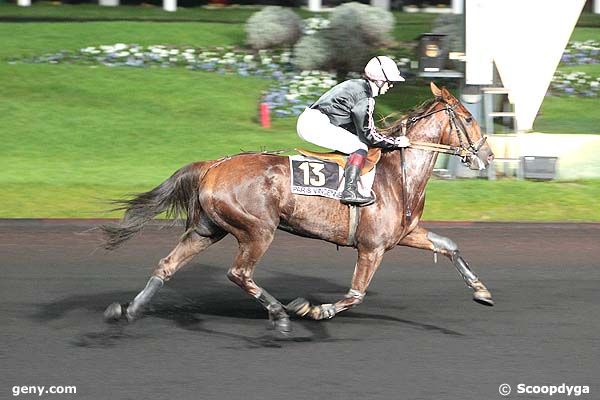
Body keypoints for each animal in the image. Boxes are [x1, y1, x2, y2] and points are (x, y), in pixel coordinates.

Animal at [103, 83, 494, 332]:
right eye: (468, 118)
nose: (488, 156)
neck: (396, 176)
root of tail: (214, 165)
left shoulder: (404, 235)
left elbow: (449, 246)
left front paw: (481, 291)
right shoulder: (372, 247)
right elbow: (356, 294)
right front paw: (315, 308)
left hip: (207, 230)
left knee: (167, 265)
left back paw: (129, 310)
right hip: (258, 230)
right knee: (239, 273)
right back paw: (281, 312)